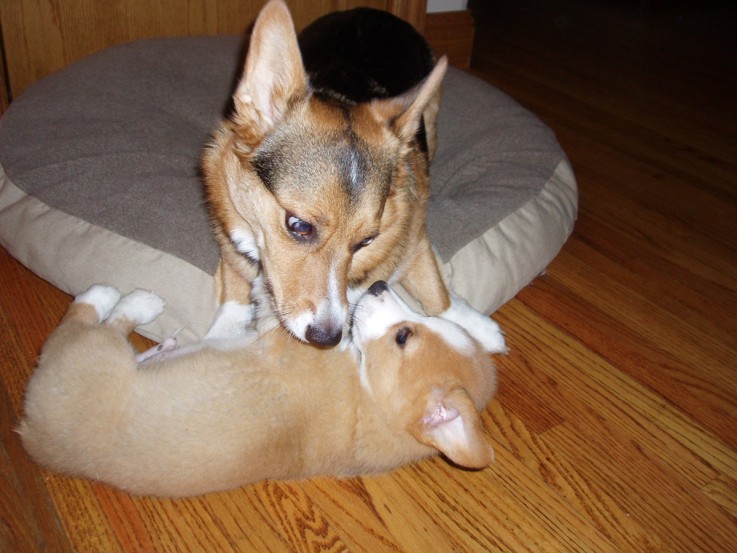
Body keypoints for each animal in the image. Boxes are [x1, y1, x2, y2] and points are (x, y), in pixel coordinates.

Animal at [17, 280, 504, 496]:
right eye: (414, 327)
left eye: (404, 337)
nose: (381, 284)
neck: (368, 398)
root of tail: (31, 432)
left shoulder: (285, 338)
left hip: (91, 352)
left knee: (88, 319)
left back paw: (120, 298)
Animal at [204, 1, 452, 344]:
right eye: (299, 226)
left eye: (366, 240)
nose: (327, 338)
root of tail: (372, 10)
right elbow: (232, 294)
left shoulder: (416, 240)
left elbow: (441, 303)